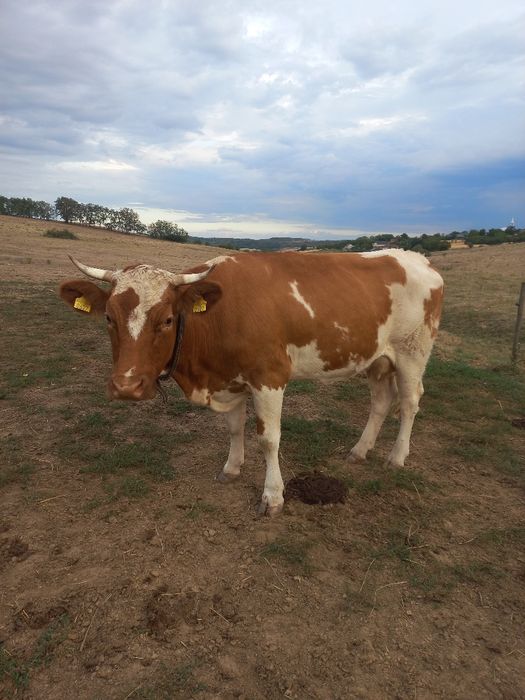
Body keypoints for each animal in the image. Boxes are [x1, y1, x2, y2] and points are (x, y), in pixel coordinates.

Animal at [59, 250, 443, 516]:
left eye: (167, 319)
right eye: (109, 318)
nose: (127, 387)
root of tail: (417, 259)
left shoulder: (269, 377)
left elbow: (269, 439)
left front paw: (273, 497)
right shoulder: (230, 381)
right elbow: (234, 428)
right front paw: (231, 468)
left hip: (413, 352)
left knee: (410, 401)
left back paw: (397, 456)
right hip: (378, 359)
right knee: (381, 401)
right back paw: (360, 450)